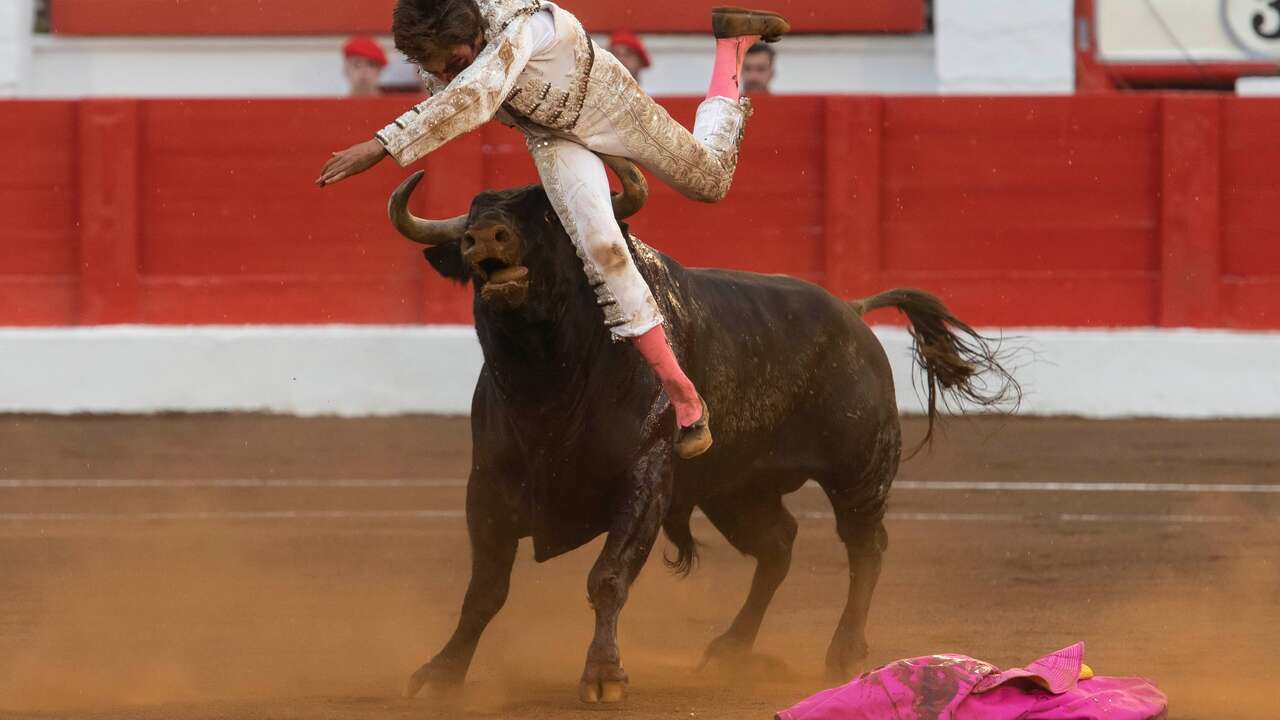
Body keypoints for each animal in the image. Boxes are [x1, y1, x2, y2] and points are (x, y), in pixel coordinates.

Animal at [384, 155, 1013, 702]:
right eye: (473, 214)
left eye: (549, 218)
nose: (484, 237)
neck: (548, 383)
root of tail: (852, 312)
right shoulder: (489, 485)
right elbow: (485, 590)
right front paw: (441, 673)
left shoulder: (644, 478)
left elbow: (608, 577)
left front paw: (603, 675)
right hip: (737, 489)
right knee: (778, 545)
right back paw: (730, 649)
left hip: (858, 472)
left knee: (866, 547)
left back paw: (844, 652)